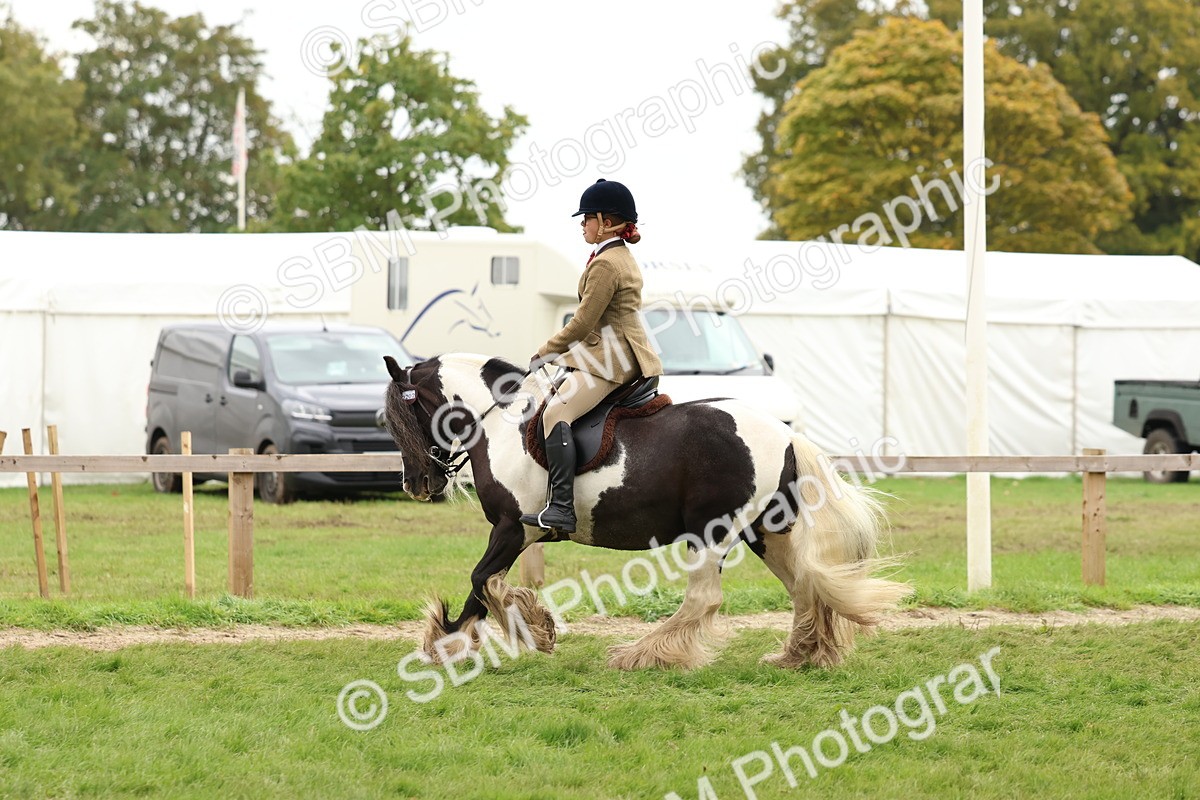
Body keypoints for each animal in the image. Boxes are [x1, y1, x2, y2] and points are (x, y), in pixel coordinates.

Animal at [382, 352, 910, 670]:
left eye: (402, 417)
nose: (417, 484)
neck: (504, 422)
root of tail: (784, 434)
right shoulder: (514, 533)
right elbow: (480, 588)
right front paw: (449, 643)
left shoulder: (514, 529)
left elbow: (482, 581)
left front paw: (530, 629)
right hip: (766, 531)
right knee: (803, 585)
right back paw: (796, 655)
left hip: (711, 531)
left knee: (705, 599)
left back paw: (642, 655)